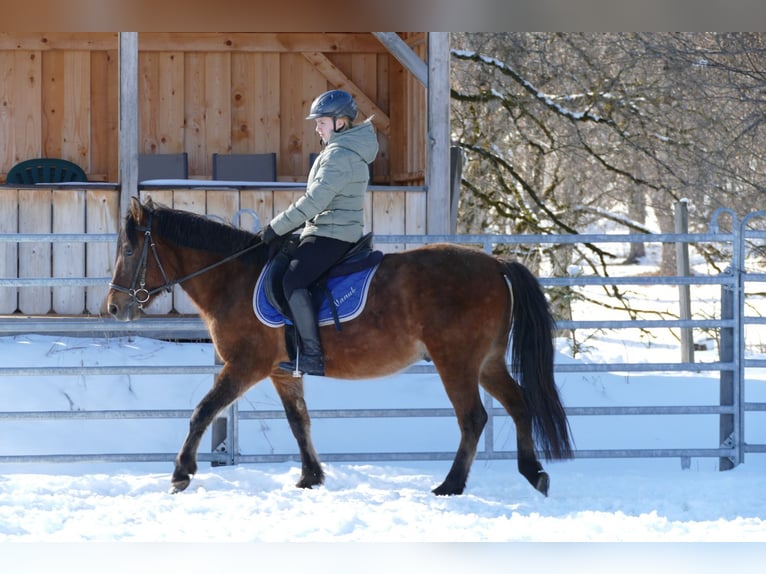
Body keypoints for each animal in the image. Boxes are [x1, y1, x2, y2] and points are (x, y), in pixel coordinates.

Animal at [109, 197, 576, 496]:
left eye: (130, 249)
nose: (113, 306)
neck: (234, 278)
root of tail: (495, 263)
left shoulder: (245, 365)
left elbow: (202, 411)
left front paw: (181, 473)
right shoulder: (281, 371)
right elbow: (299, 422)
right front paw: (311, 477)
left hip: (456, 362)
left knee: (473, 418)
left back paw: (451, 485)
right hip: (487, 362)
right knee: (519, 405)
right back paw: (533, 473)